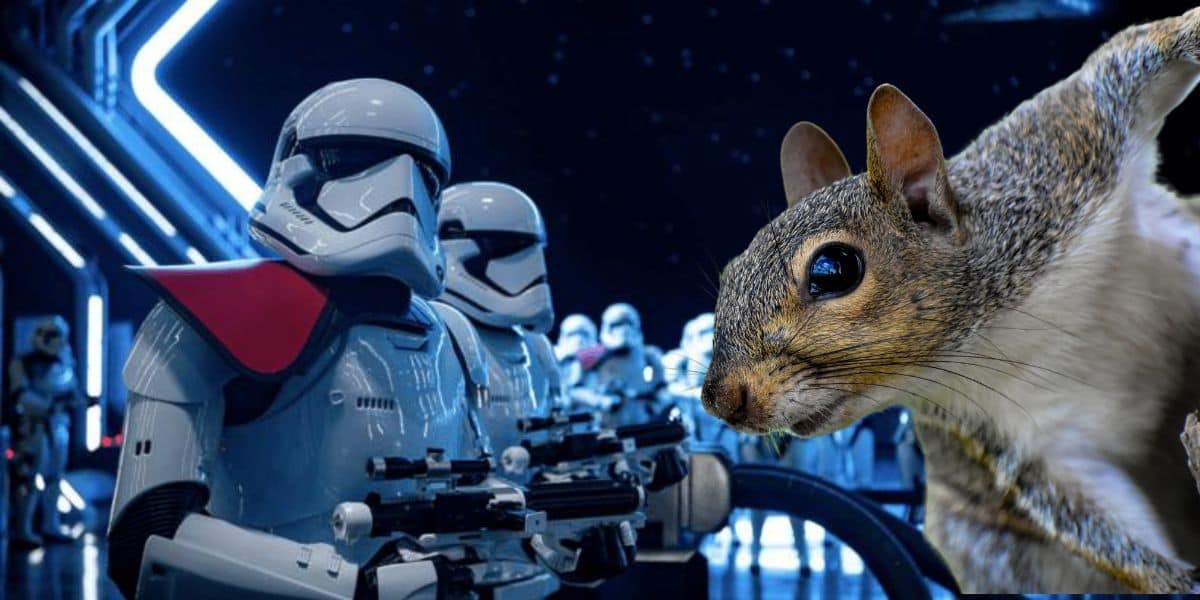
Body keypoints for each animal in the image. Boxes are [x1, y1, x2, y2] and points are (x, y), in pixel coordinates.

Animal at [701, 7, 1200, 593]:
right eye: (731, 273)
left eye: (833, 268)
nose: (718, 399)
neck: (993, 330)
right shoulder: (1036, 441)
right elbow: (1097, 519)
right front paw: (1180, 580)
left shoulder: (1065, 142)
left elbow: (1136, 52)